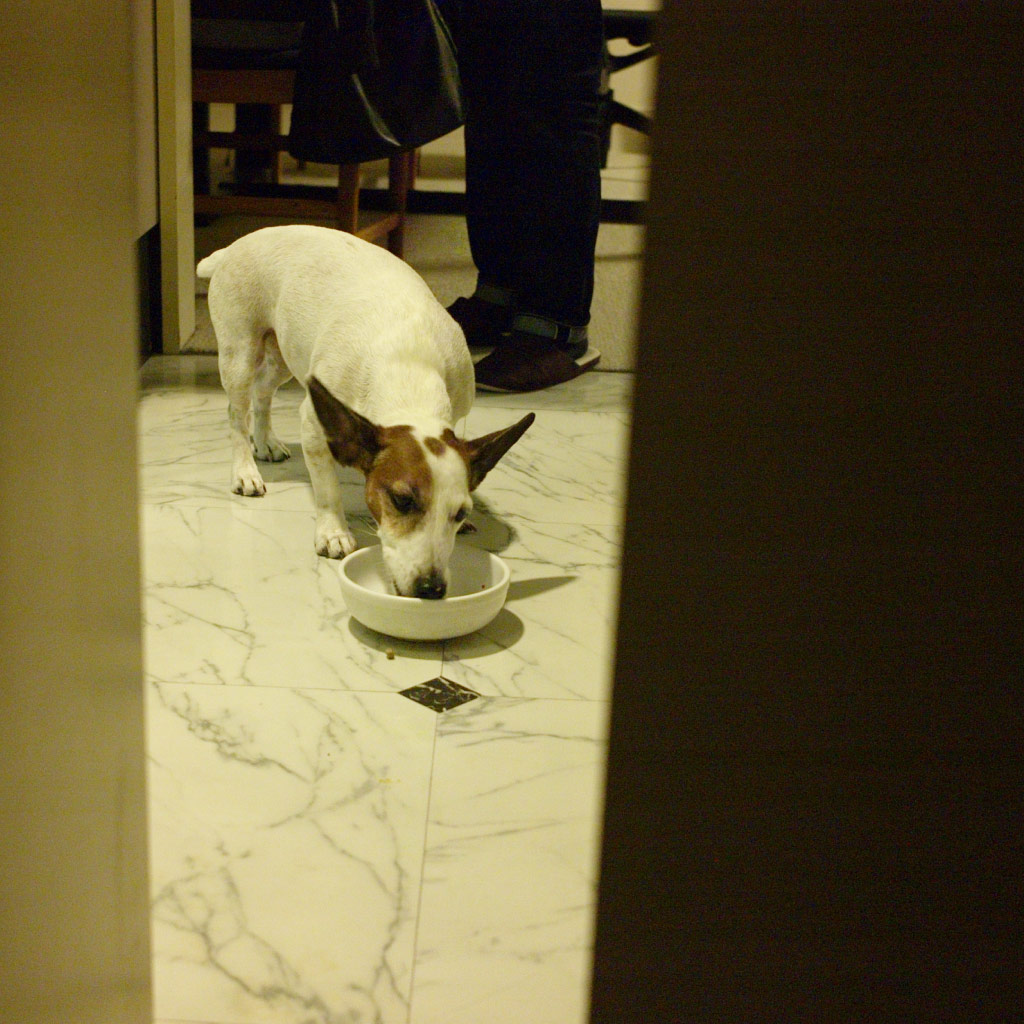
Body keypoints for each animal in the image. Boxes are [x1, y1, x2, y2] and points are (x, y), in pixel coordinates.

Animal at [196, 225, 534, 599]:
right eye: (402, 501)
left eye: (460, 512)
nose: (431, 589)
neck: (408, 369)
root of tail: (232, 247)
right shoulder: (314, 424)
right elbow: (327, 489)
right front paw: (333, 532)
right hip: (239, 353)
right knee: (236, 413)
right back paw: (245, 470)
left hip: (283, 355)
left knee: (263, 392)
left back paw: (265, 441)